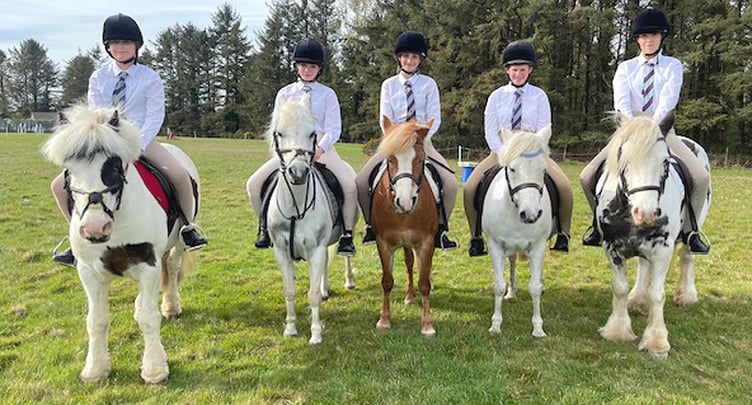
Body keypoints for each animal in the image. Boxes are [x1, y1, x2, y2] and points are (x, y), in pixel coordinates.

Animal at [42, 105, 200, 384]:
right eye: (69, 169)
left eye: (114, 166)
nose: (95, 227)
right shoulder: (88, 271)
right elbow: (96, 320)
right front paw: (95, 370)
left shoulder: (148, 263)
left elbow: (149, 318)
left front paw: (155, 370)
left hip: (178, 244)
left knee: (172, 266)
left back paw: (171, 306)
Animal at [264, 94, 354, 345]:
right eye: (279, 132)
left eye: (313, 133)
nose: (298, 172)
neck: (296, 206)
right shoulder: (282, 252)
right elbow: (289, 290)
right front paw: (291, 329)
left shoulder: (316, 249)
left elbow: (311, 294)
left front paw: (315, 335)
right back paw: (326, 290)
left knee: (345, 256)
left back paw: (348, 281)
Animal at [371, 117, 438, 337]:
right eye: (391, 159)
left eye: (421, 160)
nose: (405, 202)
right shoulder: (383, 243)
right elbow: (387, 281)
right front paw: (384, 320)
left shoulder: (426, 243)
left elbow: (424, 283)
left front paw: (427, 325)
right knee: (409, 263)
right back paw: (409, 295)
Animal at [480, 125, 554, 338]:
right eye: (512, 168)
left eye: (543, 170)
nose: (531, 214)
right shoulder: (495, 246)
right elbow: (498, 286)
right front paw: (496, 325)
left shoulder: (538, 247)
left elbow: (534, 288)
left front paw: (538, 328)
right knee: (511, 262)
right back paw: (511, 292)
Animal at [593, 112, 710, 359]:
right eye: (624, 161)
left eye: (665, 162)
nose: (645, 213)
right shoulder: (611, 247)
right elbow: (620, 288)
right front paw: (617, 330)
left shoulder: (663, 250)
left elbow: (657, 293)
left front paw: (656, 341)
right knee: (643, 265)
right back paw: (638, 298)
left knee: (687, 256)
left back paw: (686, 296)